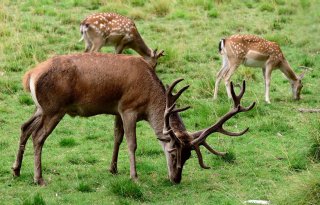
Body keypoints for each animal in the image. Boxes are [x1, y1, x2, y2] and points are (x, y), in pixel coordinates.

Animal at [12, 52, 255, 186]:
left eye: (188, 157)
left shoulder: (117, 110)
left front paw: (113, 169)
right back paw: (39, 178)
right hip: (55, 108)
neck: (149, 99)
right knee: (38, 136)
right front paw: (134, 176)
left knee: (24, 127)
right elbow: (131, 143)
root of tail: (30, 75)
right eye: (173, 152)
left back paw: (16, 170)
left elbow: (117, 138)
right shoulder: (129, 108)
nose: (176, 179)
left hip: (41, 108)